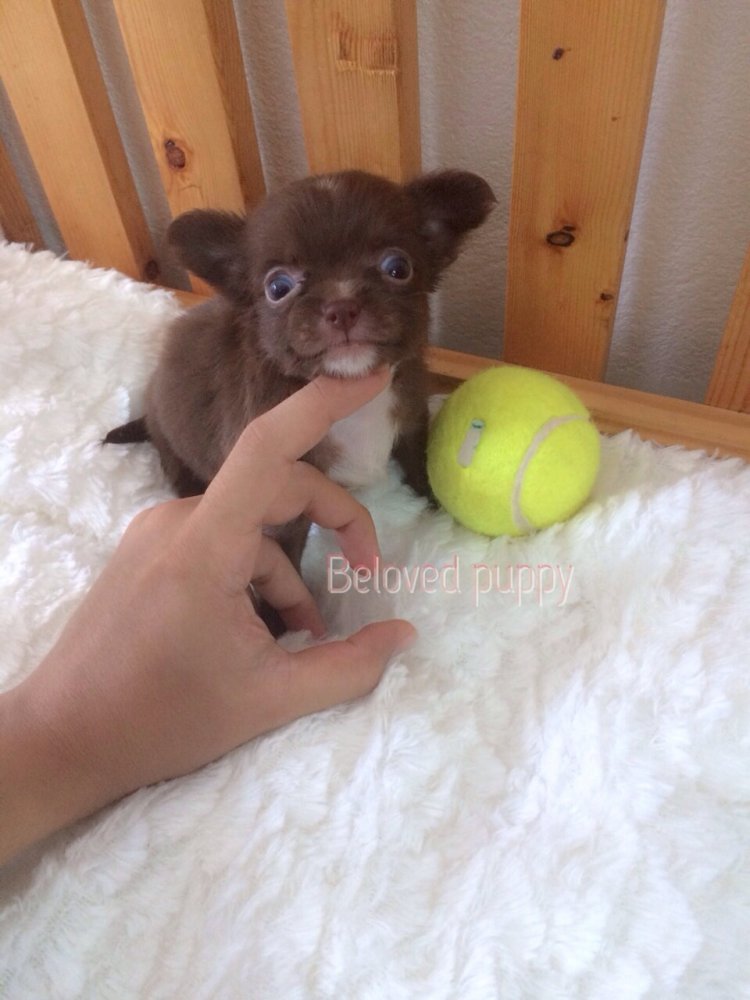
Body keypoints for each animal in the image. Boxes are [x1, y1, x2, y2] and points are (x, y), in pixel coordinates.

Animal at [106, 168, 495, 630]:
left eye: (398, 268)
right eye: (278, 287)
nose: (342, 306)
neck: (351, 394)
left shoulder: (411, 416)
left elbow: (420, 462)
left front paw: (437, 504)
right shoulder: (283, 491)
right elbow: (284, 560)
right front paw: (280, 625)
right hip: (174, 445)